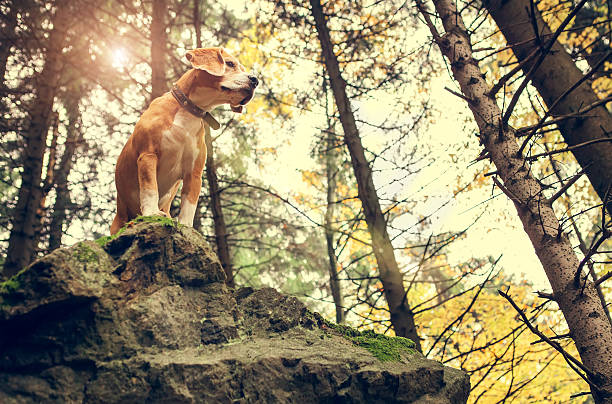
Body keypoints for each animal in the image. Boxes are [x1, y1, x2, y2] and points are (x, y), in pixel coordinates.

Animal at [111, 46, 256, 234]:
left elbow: (189, 205)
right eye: (230, 64)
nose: (255, 80)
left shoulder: (193, 173)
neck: (188, 111)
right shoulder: (148, 155)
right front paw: (151, 213)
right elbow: (150, 188)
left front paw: (186, 227)